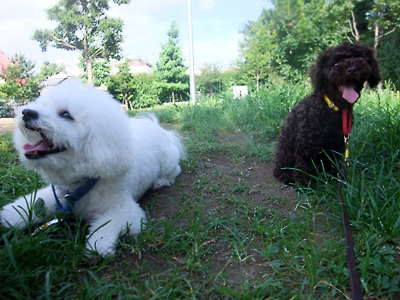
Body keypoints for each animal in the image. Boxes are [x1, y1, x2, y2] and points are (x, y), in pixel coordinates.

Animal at [0, 81, 186, 256]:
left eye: (66, 115)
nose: (27, 113)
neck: (82, 184)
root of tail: (159, 129)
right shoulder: (58, 197)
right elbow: (35, 201)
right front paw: (11, 215)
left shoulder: (126, 211)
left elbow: (107, 225)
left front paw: (98, 245)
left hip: (168, 161)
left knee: (174, 171)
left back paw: (161, 181)